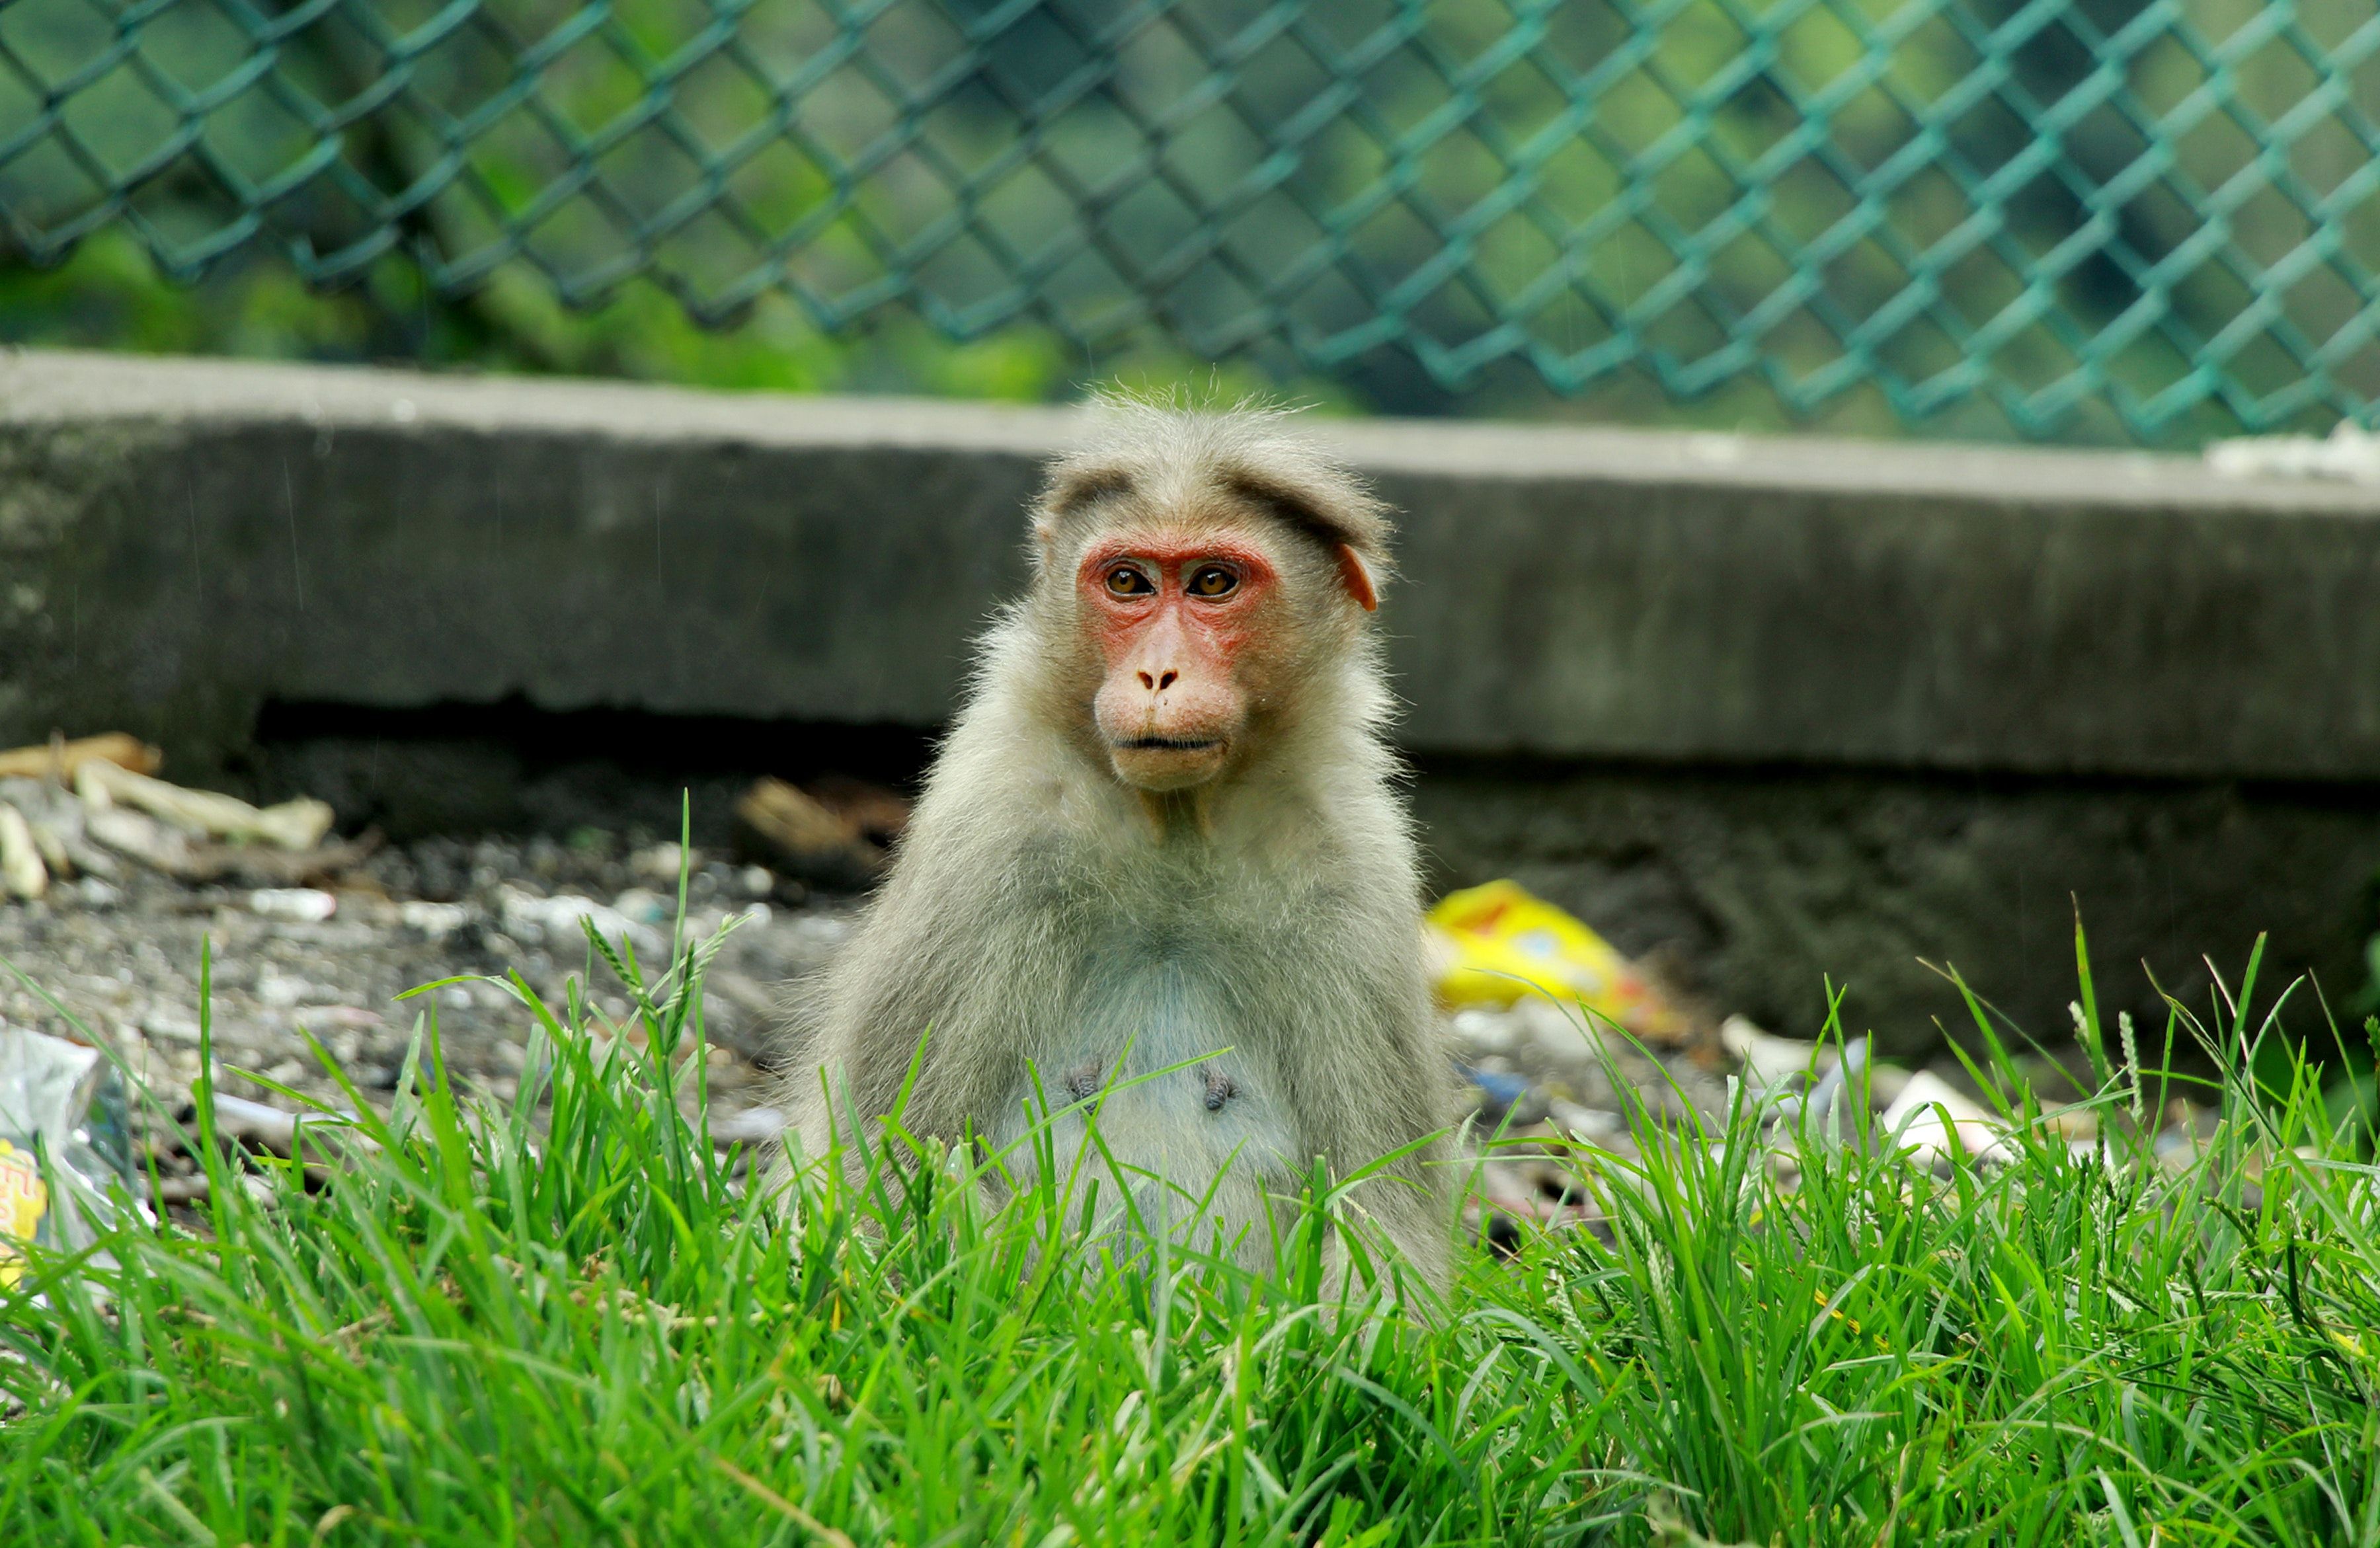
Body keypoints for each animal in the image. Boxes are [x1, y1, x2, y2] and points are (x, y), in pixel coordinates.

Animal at [780, 399, 1447, 1294]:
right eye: (1128, 581)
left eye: (1213, 582)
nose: (1157, 675)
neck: (1176, 824)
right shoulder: (991, 833)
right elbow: (884, 1177)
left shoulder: (1352, 867)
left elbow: (1383, 1214)